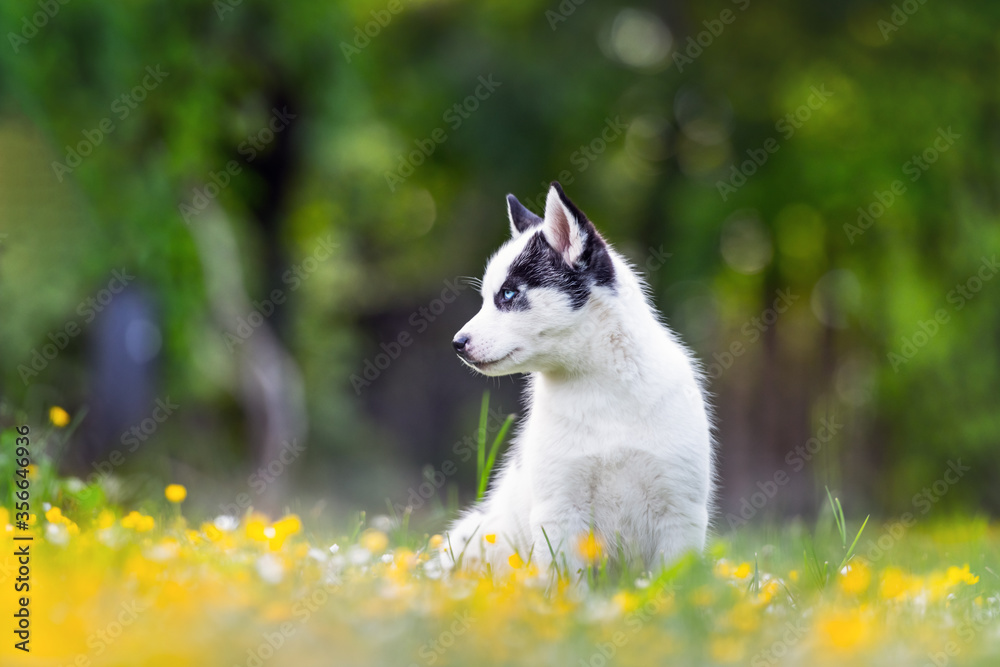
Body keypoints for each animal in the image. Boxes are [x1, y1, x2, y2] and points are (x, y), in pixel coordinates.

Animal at [446, 181, 712, 576]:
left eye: (508, 294)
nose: (457, 343)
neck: (600, 388)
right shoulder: (558, 510)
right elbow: (567, 583)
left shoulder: (681, 510)